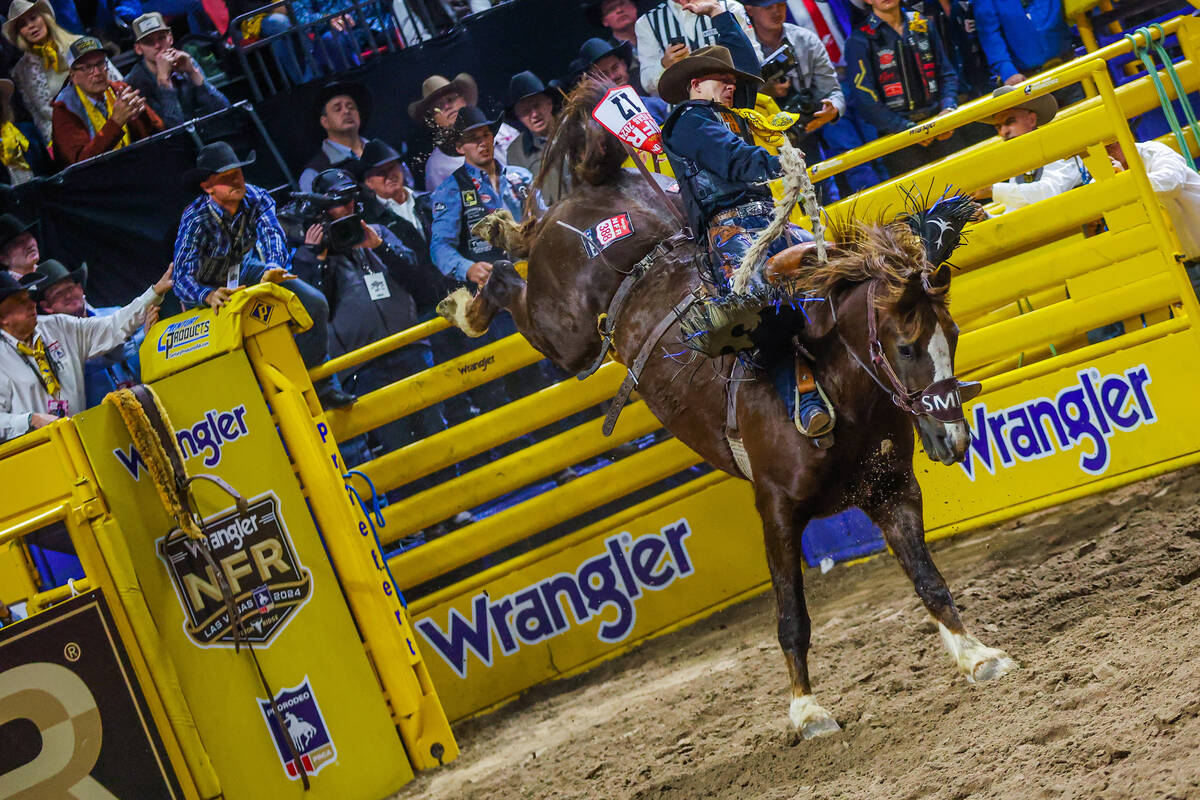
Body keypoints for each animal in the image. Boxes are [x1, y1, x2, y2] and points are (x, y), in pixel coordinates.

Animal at [436, 76, 1017, 738]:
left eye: (954, 336)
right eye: (905, 346)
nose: (954, 438)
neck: (833, 382)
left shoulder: (892, 490)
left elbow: (929, 579)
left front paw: (978, 656)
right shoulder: (776, 511)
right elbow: (793, 617)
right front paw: (807, 709)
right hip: (565, 330)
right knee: (510, 280)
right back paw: (473, 290)